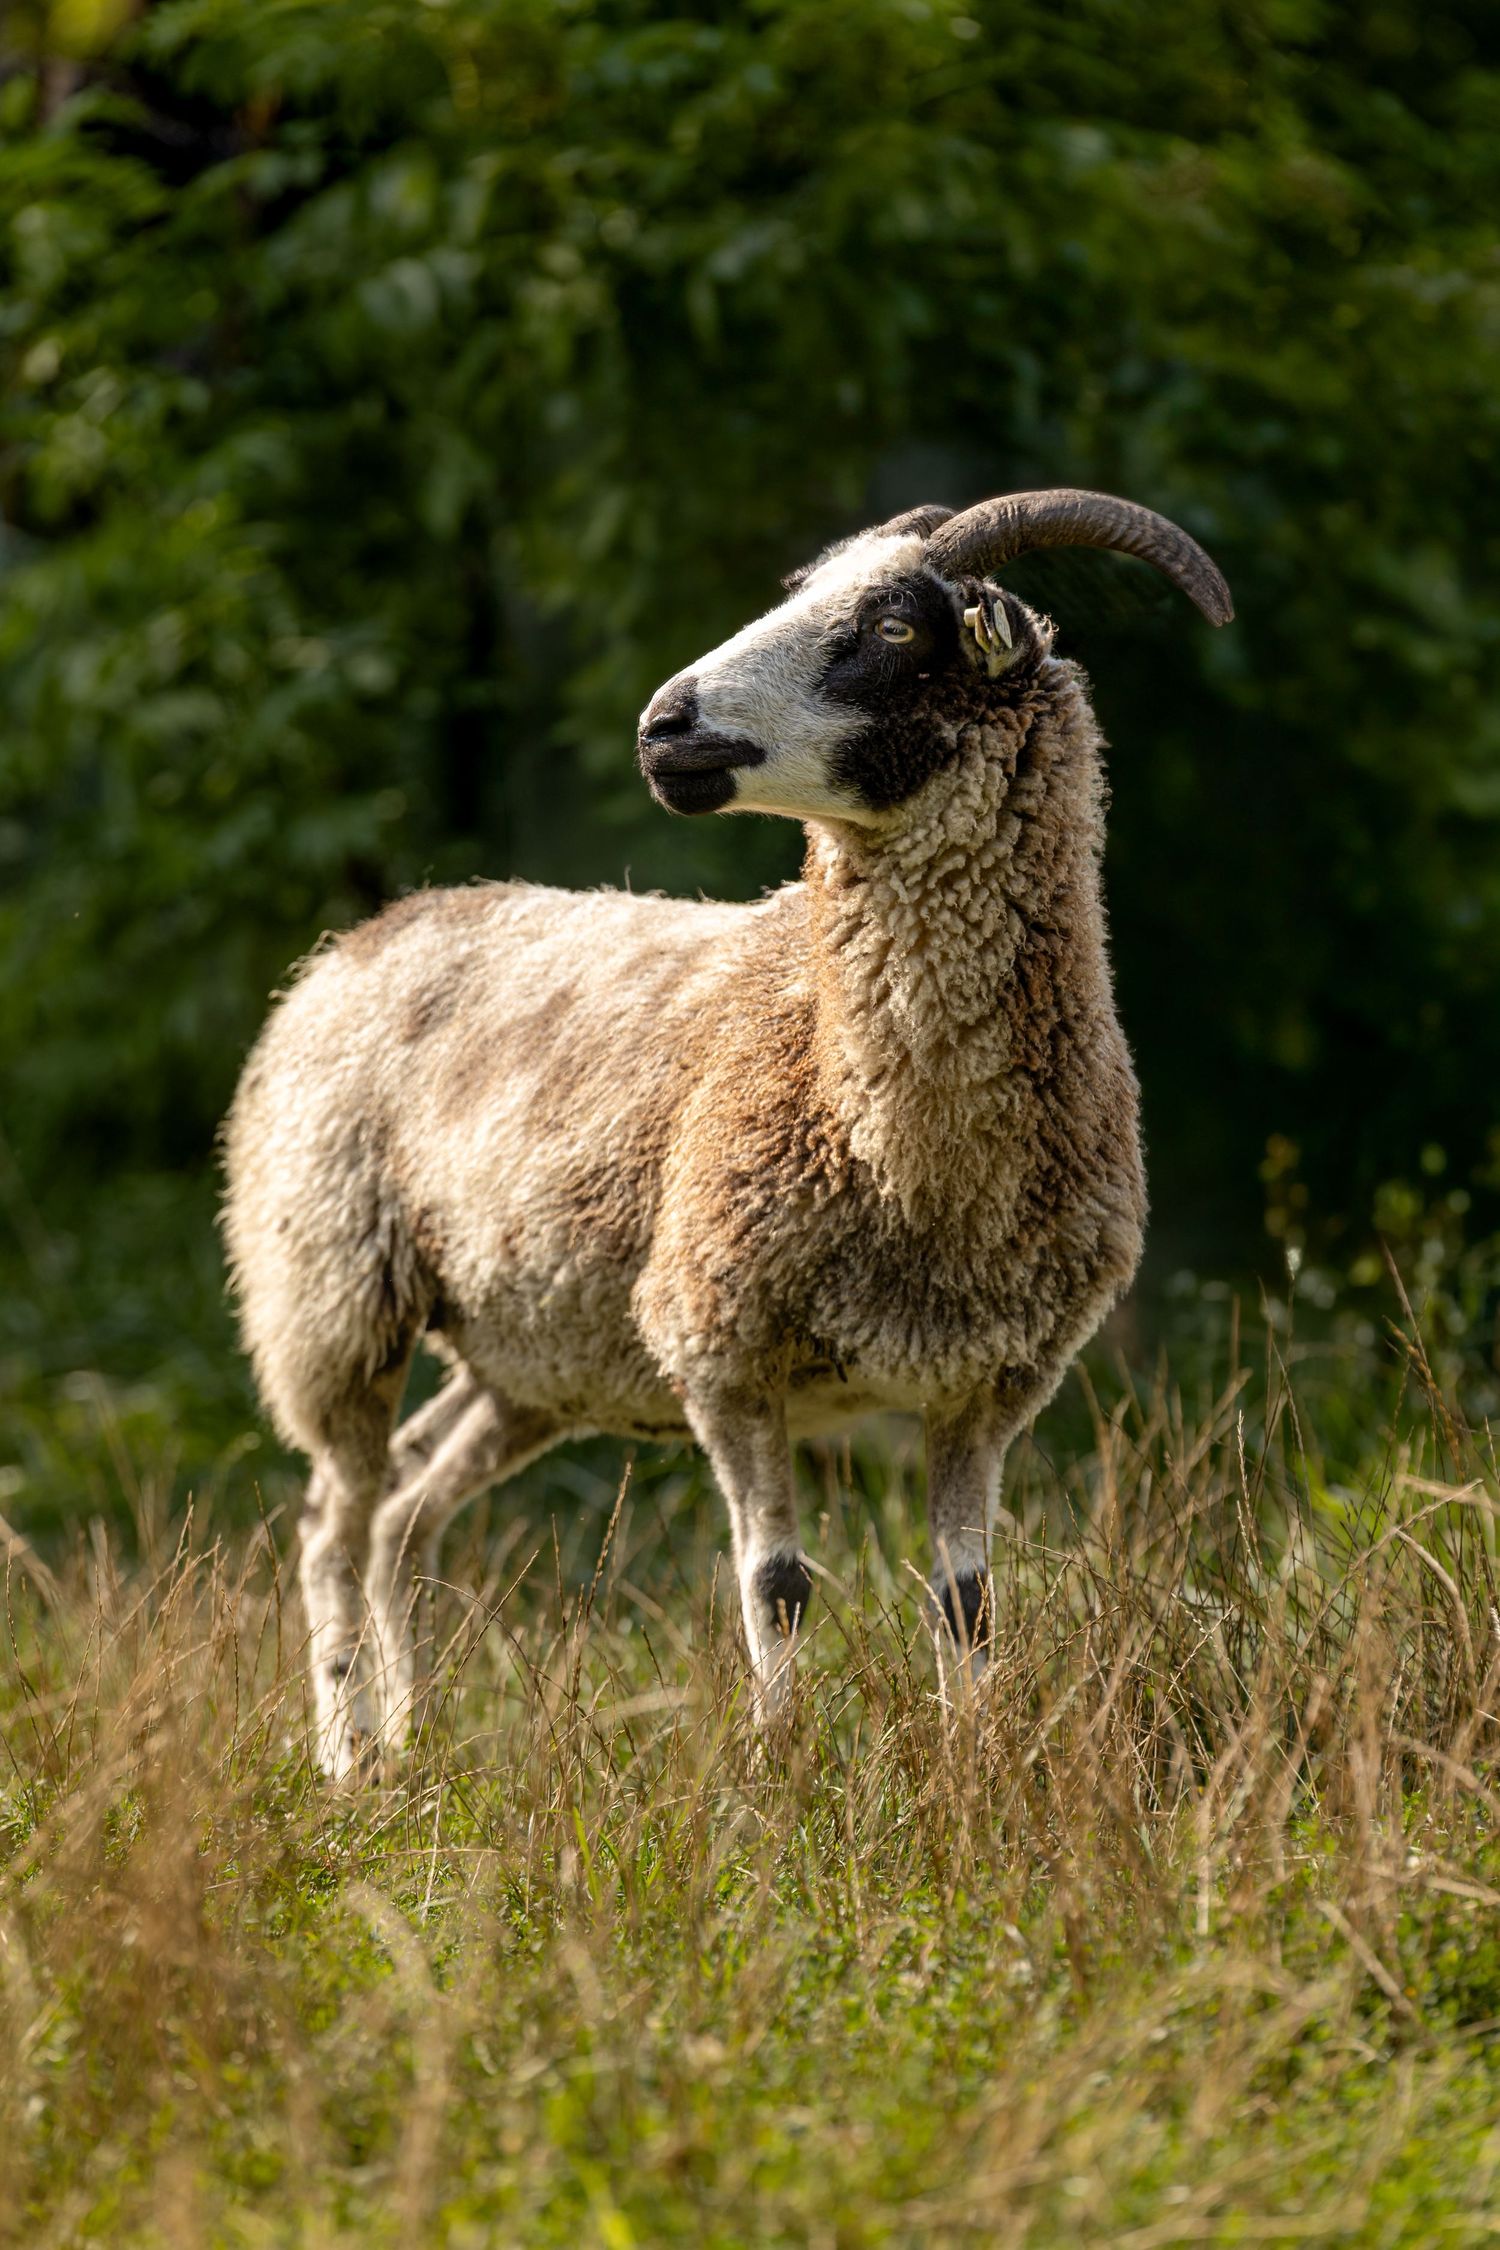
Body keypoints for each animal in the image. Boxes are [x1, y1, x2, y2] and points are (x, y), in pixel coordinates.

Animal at [222, 487, 1232, 1777]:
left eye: (896, 628)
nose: (664, 727)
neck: (895, 1150)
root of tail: (352, 942)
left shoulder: (988, 1383)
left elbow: (968, 1600)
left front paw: (975, 1769)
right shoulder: (722, 1344)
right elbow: (778, 1581)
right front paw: (783, 1769)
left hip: (533, 1353)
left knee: (404, 1506)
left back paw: (418, 1742)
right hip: (333, 1293)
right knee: (329, 1523)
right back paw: (351, 1765)